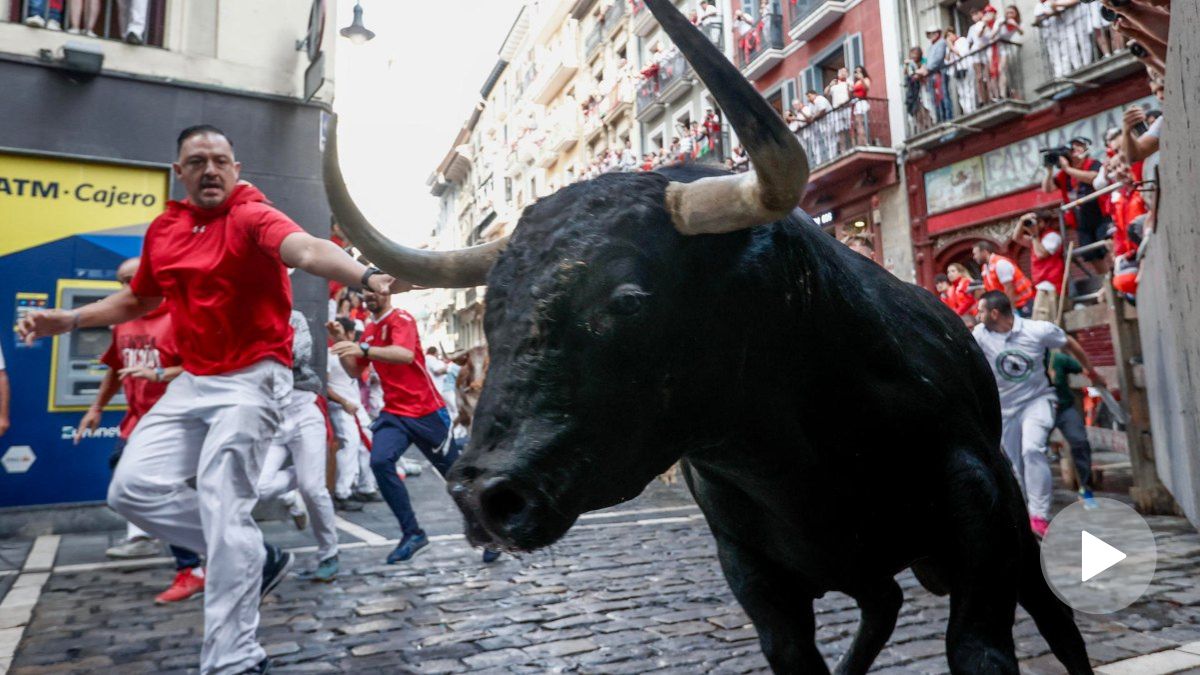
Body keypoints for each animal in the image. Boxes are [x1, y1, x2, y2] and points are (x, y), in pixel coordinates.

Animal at [446, 166, 1094, 667]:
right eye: (492, 309)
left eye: (627, 299)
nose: (483, 496)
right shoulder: (750, 571)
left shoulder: (982, 516)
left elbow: (980, 647)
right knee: (883, 606)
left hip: (1009, 529)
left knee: (1054, 617)